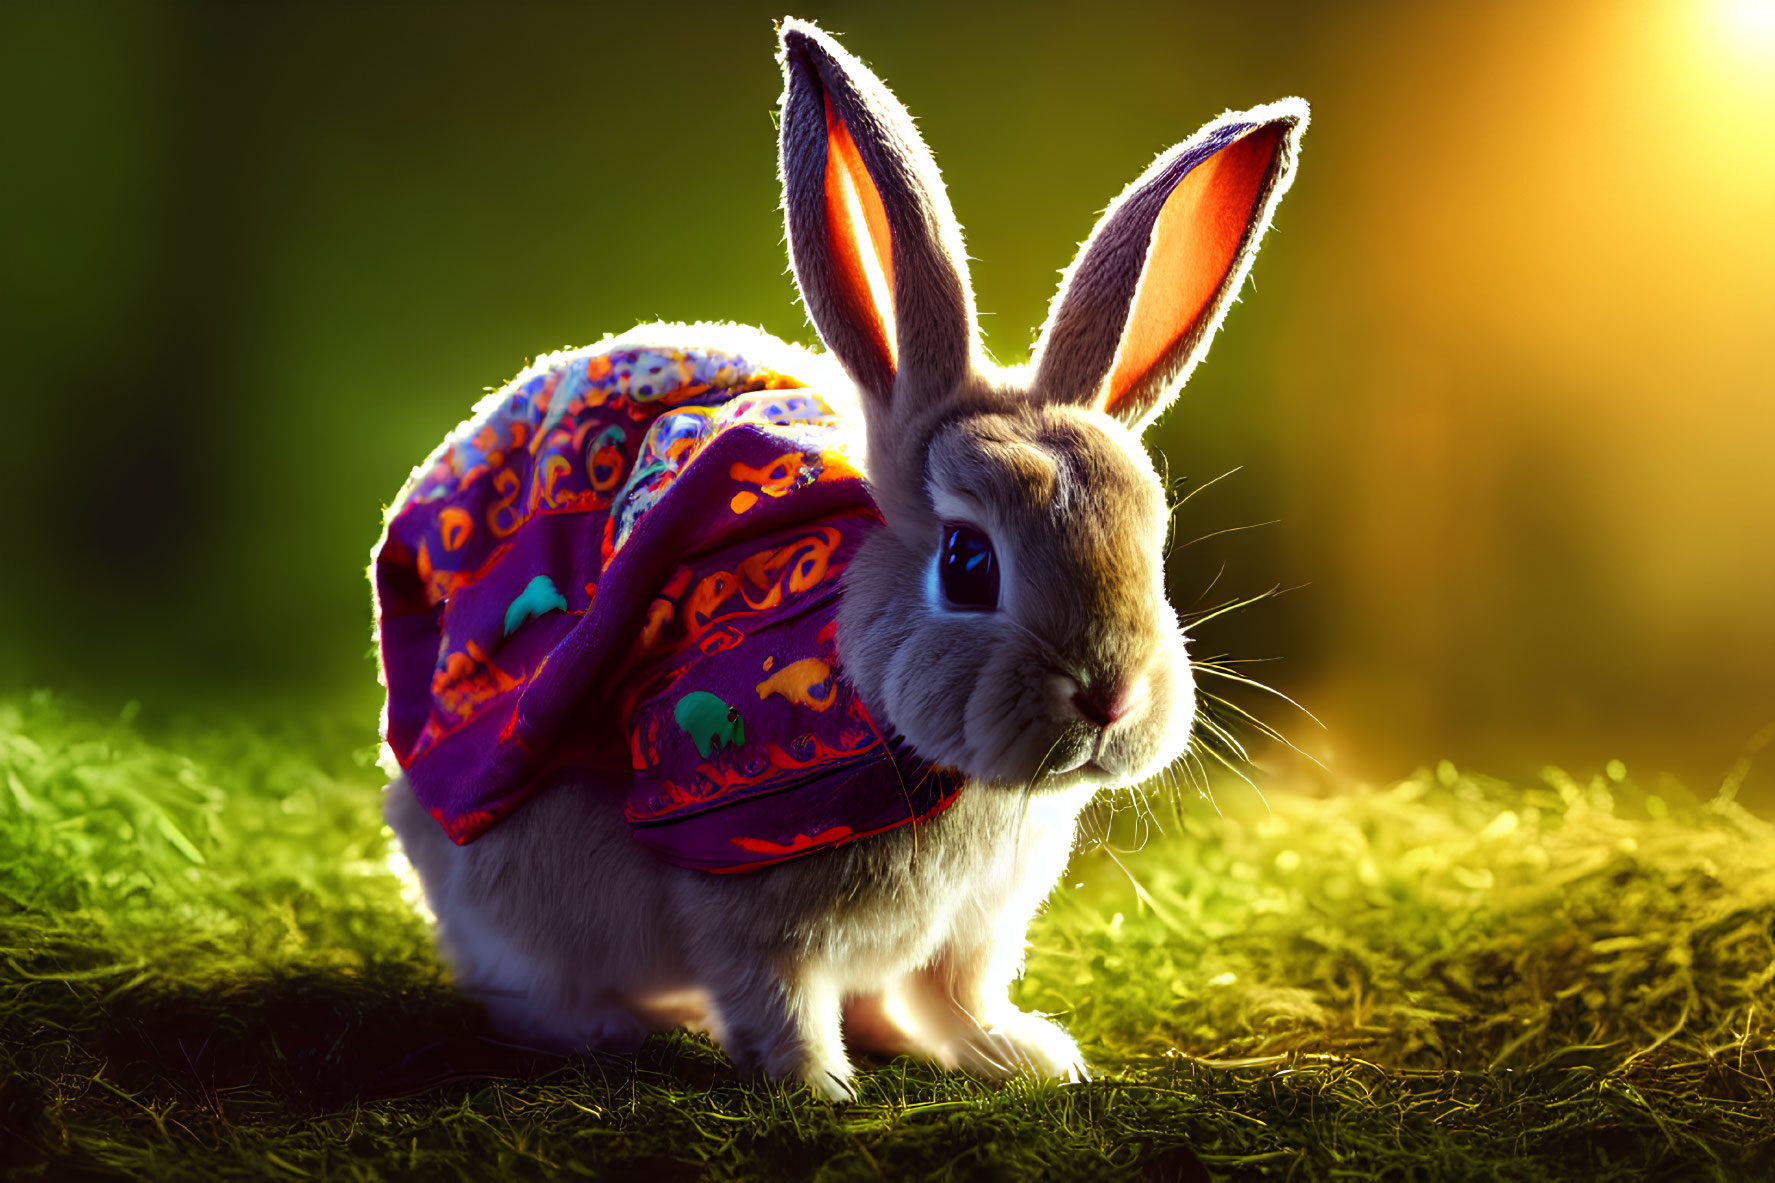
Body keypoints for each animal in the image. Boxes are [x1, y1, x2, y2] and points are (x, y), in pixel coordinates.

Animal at [374, 16, 1313, 1094]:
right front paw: (817, 1084)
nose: (1109, 697)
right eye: (967, 563)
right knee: (523, 987)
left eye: (1150, 539)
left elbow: (959, 995)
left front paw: (1023, 1056)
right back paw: (622, 1027)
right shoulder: (741, 911)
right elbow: (775, 1002)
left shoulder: (973, 930)